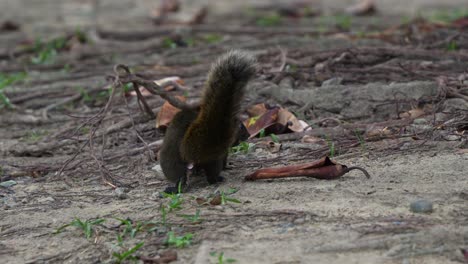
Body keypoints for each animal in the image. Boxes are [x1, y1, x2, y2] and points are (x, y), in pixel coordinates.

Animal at [160, 50, 256, 193]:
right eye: (241, 127)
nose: (248, 135)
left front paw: (195, 171)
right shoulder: (224, 149)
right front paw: (226, 167)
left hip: (170, 155)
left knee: (178, 174)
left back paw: (176, 187)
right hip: (213, 156)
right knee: (212, 171)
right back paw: (217, 179)